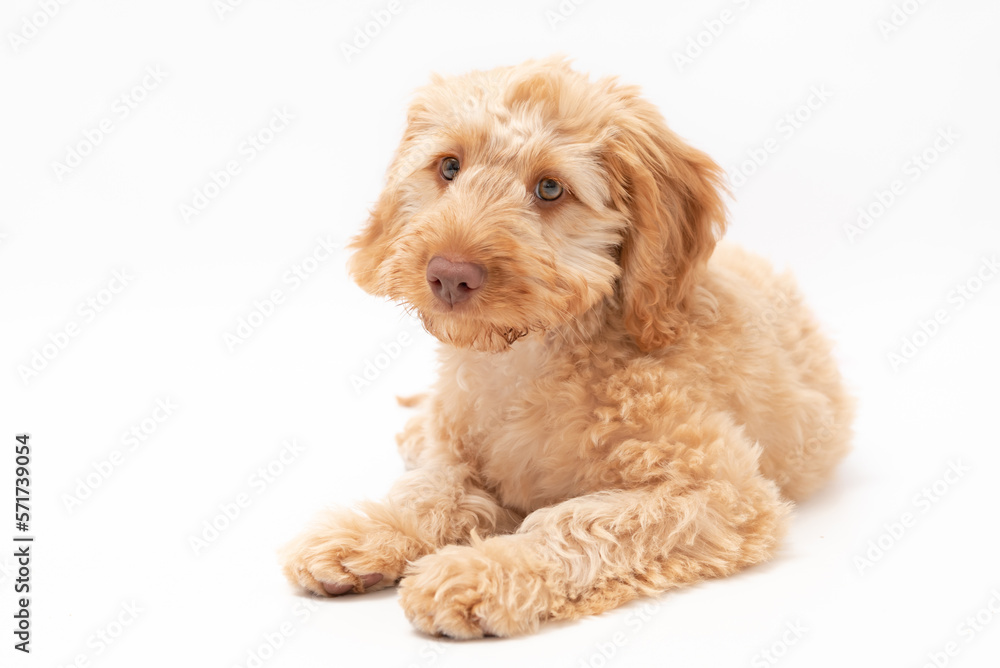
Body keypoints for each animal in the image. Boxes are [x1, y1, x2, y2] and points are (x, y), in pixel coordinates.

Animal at [282, 57, 852, 636]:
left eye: (551, 189)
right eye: (449, 168)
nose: (448, 275)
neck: (530, 355)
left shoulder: (717, 491)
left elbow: (575, 522)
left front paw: (480, 570)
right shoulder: (459, 448)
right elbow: (434, 487)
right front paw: (371, 532)